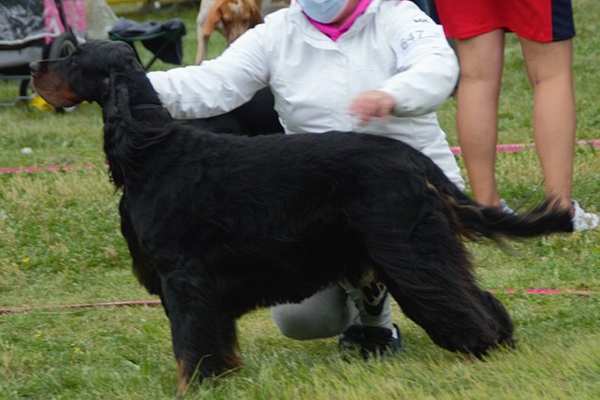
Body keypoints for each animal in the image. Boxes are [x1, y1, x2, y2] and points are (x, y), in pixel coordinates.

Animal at [31, 39, 572, 394]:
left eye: (75, 58)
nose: (34, 67)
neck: (150, 151)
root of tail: (412, 159)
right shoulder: (204, 289)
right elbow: (214, 343)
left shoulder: (184, 279)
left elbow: (190, 347)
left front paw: (193, 389)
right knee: (477, 297)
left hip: (408, 249)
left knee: (458, 302)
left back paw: (483, 353)